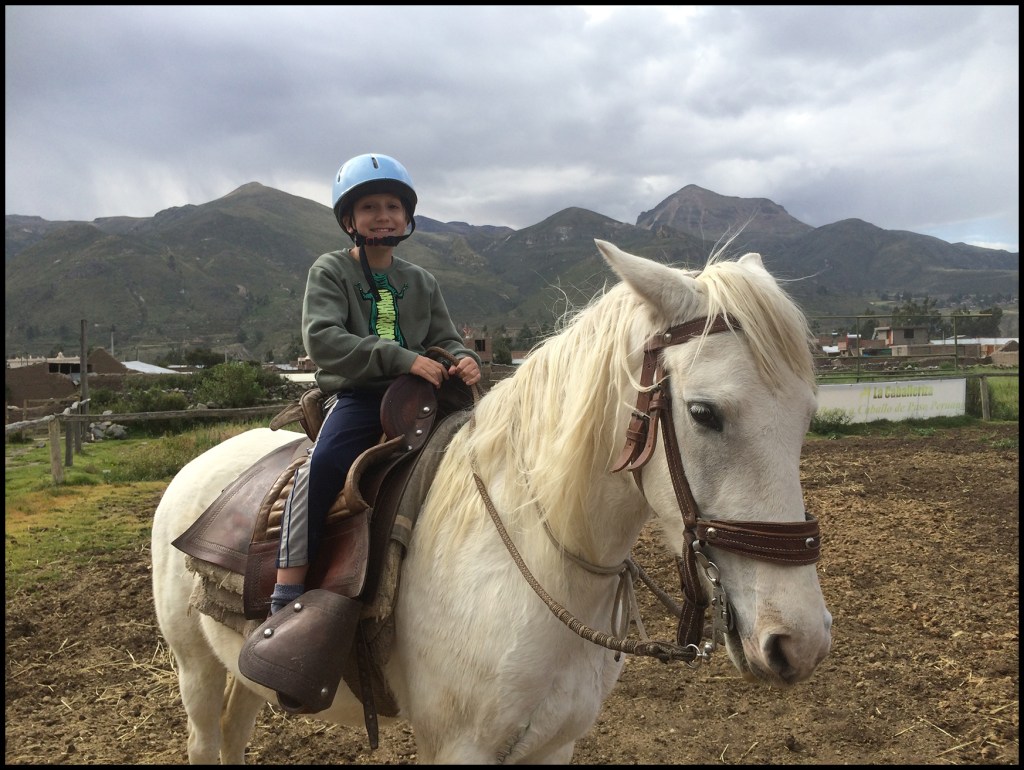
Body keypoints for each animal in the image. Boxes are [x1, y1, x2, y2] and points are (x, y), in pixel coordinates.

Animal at [151, 238, 832, 764]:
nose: (799, 643)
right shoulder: (461, 748)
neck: (538, 566)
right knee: (206, 740)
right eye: (704, 412)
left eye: (806, 415)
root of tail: (200, 466)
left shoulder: (555, 745)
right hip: (195, 667)